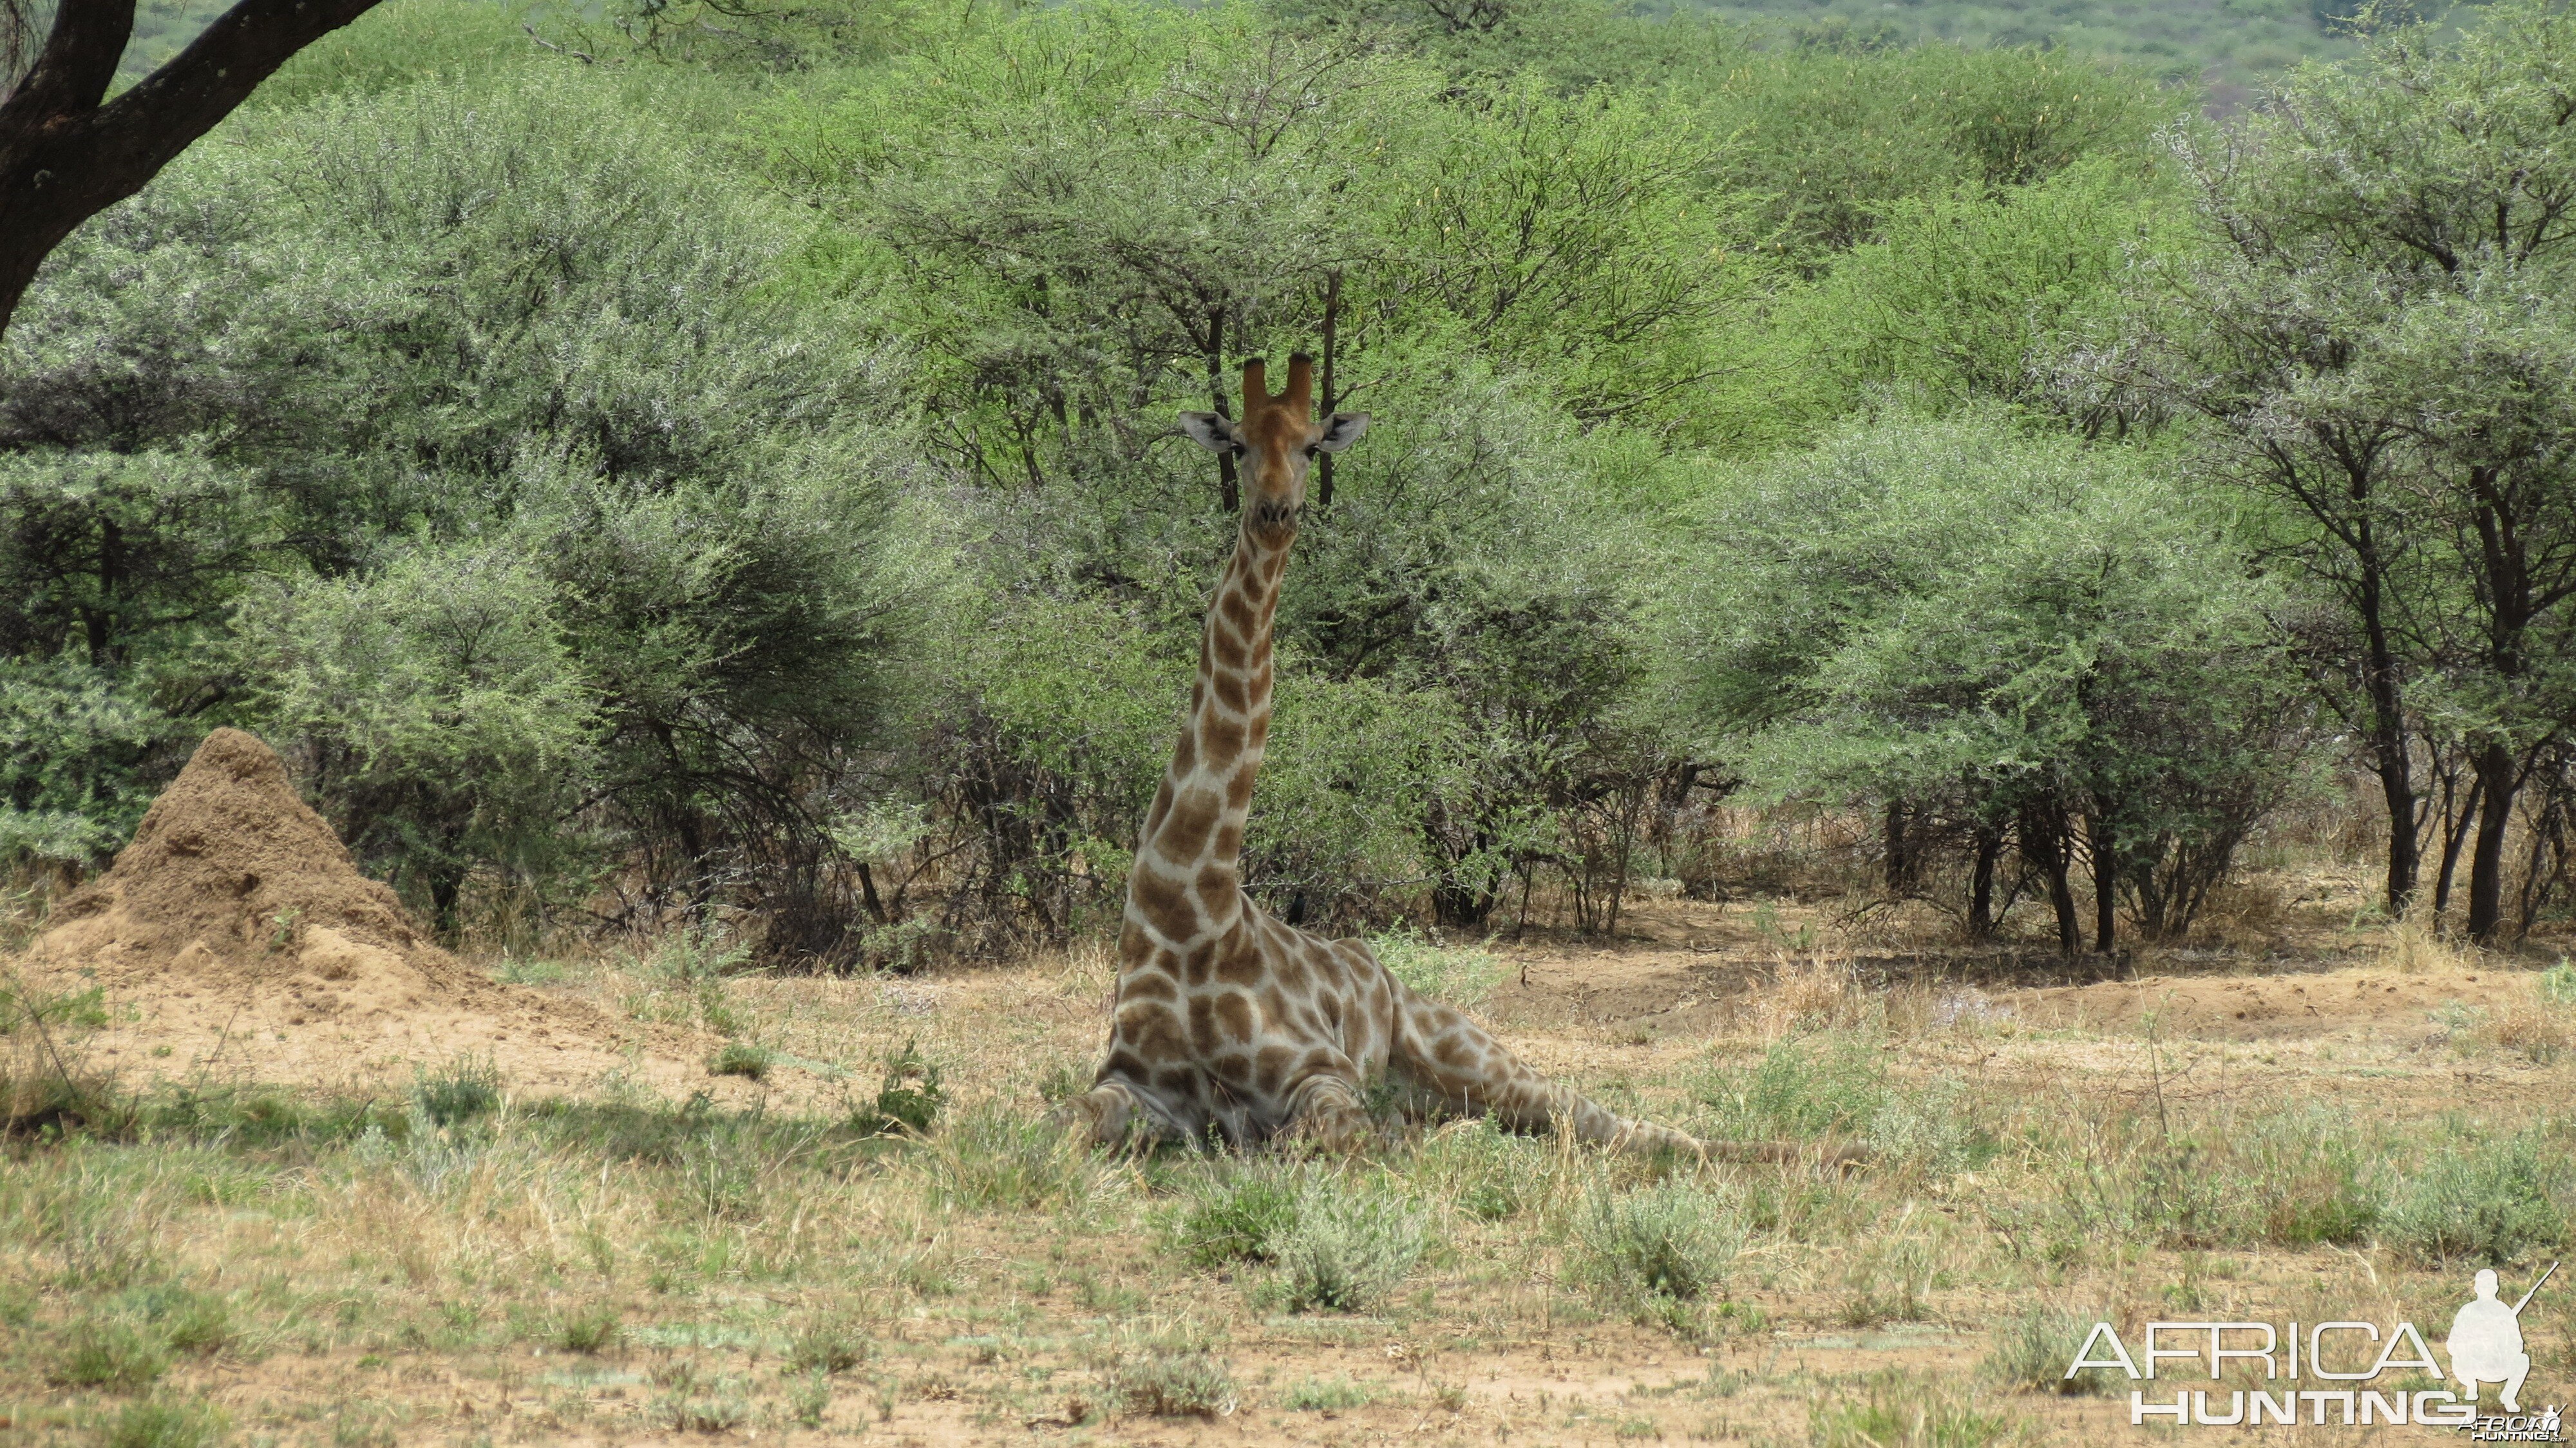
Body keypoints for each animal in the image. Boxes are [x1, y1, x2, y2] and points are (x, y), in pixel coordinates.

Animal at [1051, 358, 1834, 1159]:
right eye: (1237, 444)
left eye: (1311, 445)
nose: (1275, 513)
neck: (1187, 906)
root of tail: (1382, 970)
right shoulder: (1133, 1084)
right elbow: (1052, 1128)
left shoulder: (1319, 1073)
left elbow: (1331, 1137)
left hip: (1469, 1050)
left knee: (1613, 1124)